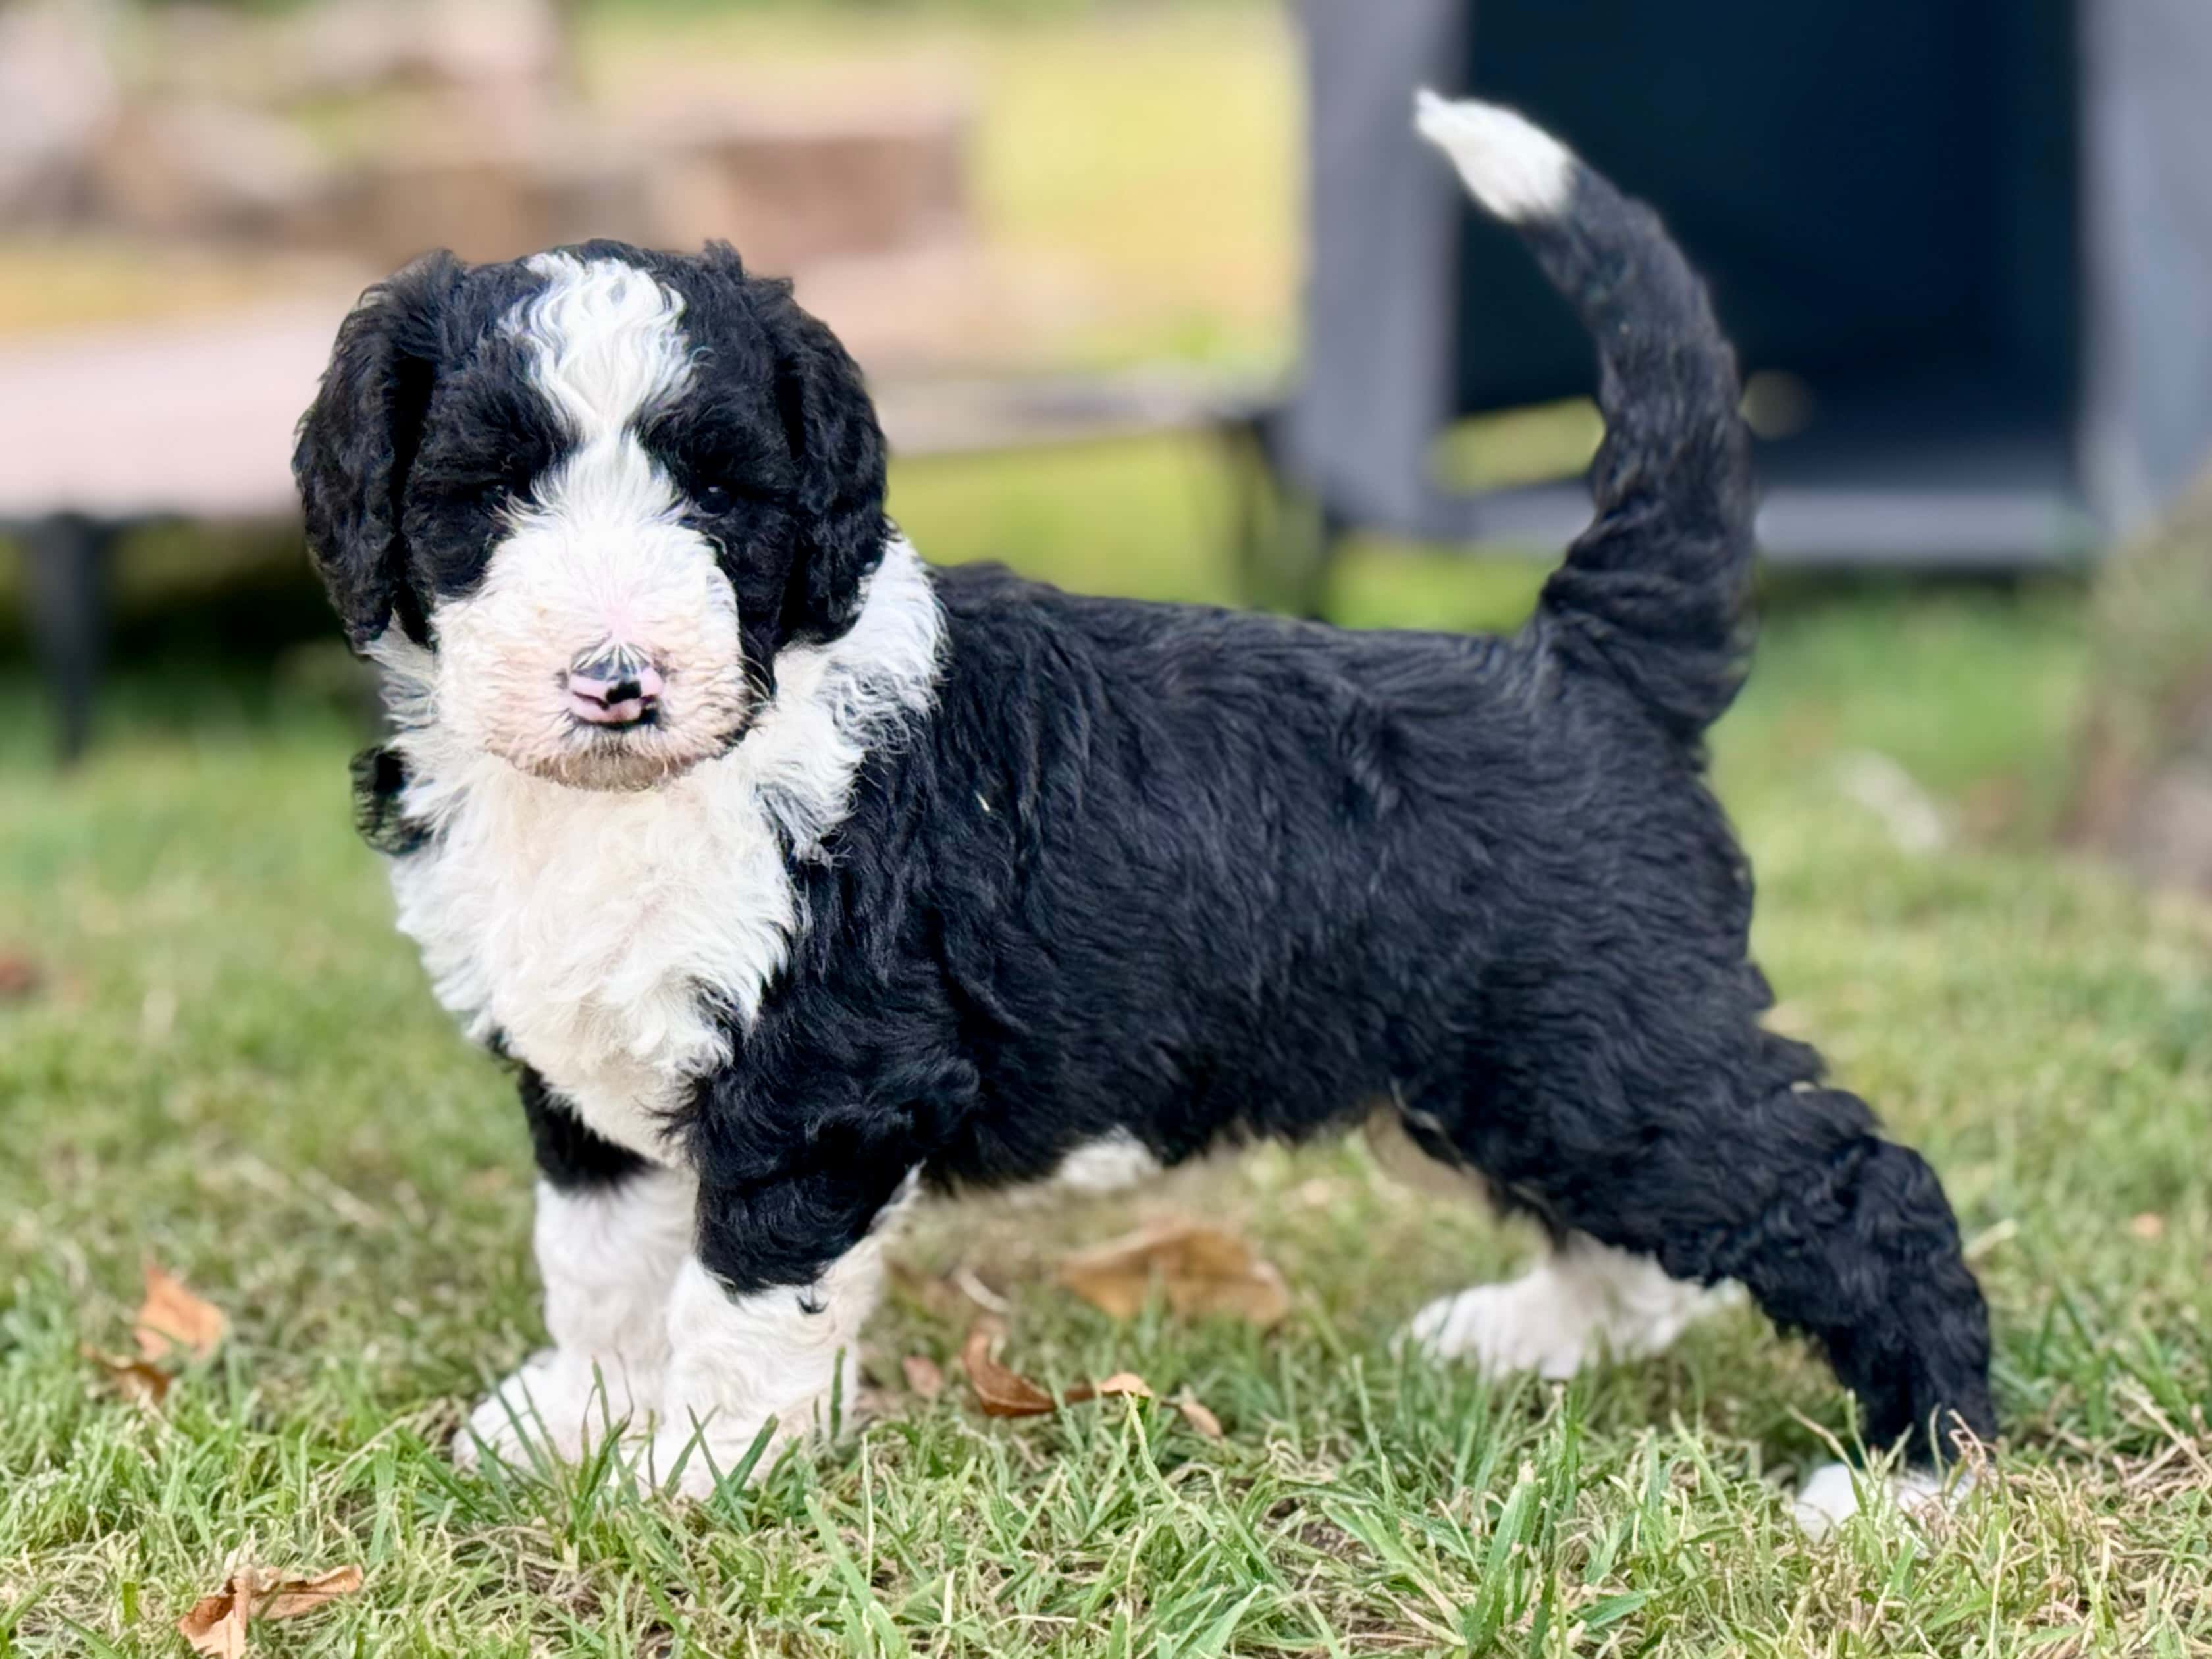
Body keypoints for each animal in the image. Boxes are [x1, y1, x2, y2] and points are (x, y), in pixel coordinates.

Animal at [290, 88, 1991, 1521]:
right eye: (488, 491)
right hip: (1511, 1065)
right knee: (1643, 1242)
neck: (635, 793)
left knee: (1854, 1193)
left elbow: (741, 1283)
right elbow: (599, 1257)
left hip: (1610, 1045)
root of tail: (1577, 664)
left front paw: (701, 1464)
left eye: (717, 490)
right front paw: (577, 1417)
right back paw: (1526, 1338)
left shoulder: (826, 1076)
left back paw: (1914, 1476)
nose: (616, 683)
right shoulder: (590, 1063)